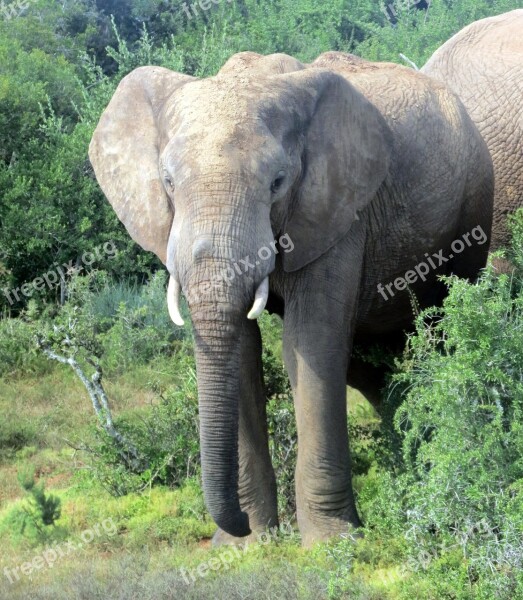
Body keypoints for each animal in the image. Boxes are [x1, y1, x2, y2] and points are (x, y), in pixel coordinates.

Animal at [88, 51, 494, 548]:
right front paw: (245, 546)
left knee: (440, 331)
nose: (236, 522)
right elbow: (243, 351)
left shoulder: (336, 208)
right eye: (167, 181)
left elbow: (309, 343)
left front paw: (332, 543)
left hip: (473, 209)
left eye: (278, 182)